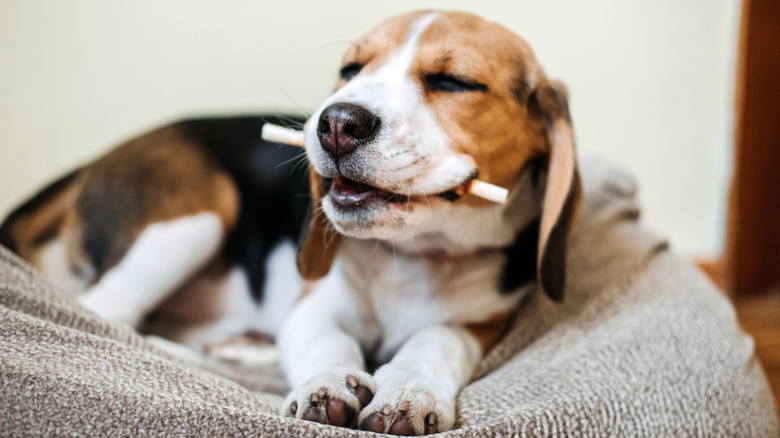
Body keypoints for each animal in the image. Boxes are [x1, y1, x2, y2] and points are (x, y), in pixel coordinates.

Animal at [278, 9, 580, 434]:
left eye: (454, 81)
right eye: (350, 70)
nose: (337, 123)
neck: (415, 253)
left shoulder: (483, 320)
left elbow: (436, 338)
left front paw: (409, 388)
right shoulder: (311, 304)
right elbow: (326, 338)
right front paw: (327, 383)